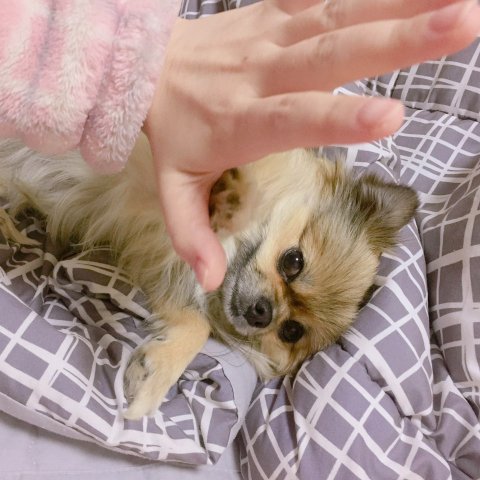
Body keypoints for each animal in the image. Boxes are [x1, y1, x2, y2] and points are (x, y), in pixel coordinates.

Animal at [0, 137, 418, 419]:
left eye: (291, 331)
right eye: (293, 261)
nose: (263, 313)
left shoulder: (156, 256)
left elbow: (195, 325)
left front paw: (154, 374)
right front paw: (226, 191)